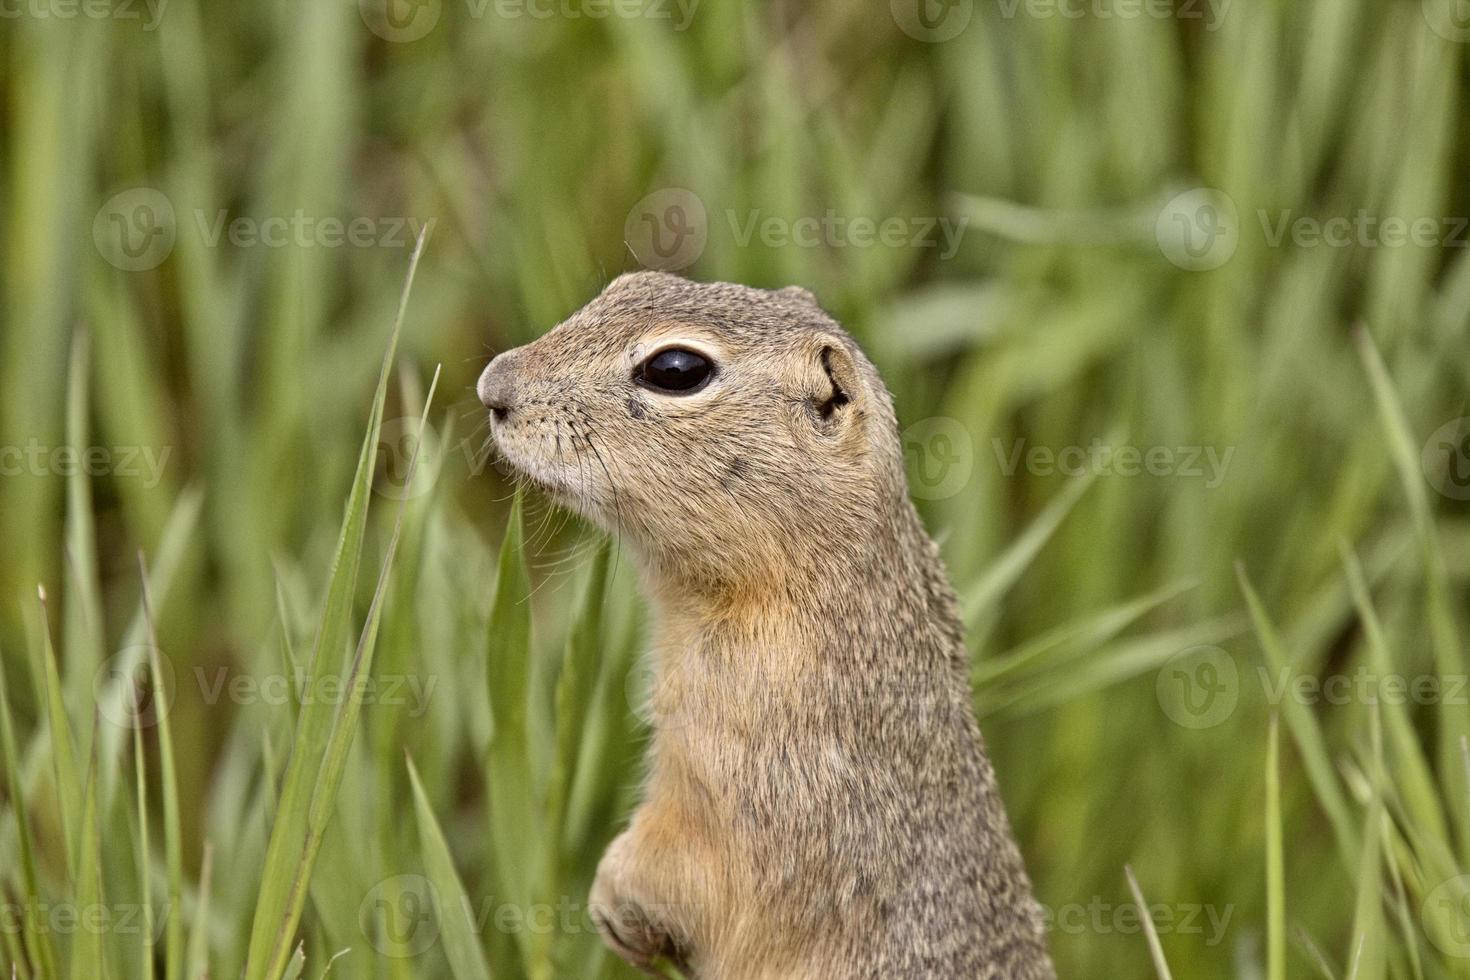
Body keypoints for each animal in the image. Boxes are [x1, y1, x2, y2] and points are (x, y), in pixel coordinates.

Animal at [479, 274, 1058, 980]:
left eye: (677, 370)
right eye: (627, 283)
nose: (492, 385)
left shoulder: (737, 757)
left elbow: (687, 865)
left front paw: (612, 893)